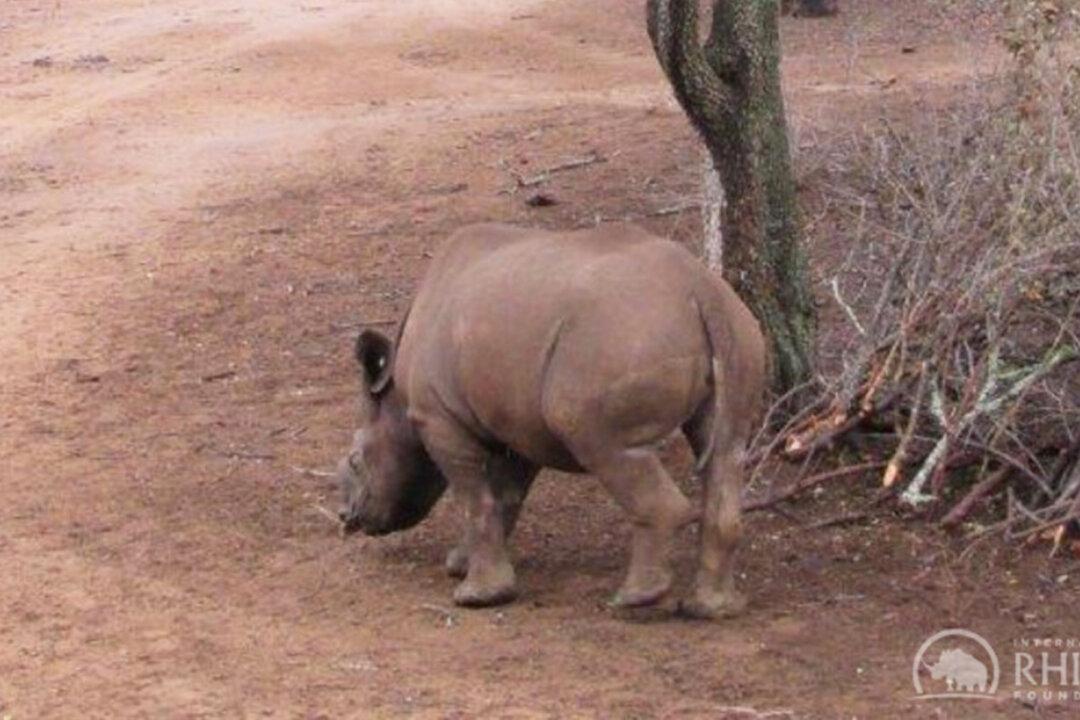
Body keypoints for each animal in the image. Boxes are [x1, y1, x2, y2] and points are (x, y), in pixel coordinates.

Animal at [336, 223, 766, 618]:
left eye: (356, 461)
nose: (346, 518)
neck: (395, 398)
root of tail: (700, 291)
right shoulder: (516, 422)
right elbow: (505, 496)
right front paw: (461, 565)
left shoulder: (438, 419)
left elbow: (474, 498)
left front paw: (476, 597)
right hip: (737, 332)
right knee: (725, 450)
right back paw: (712, 608)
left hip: (618, 341)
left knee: (607, 445)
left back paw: (634, 600)